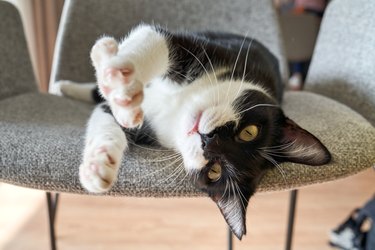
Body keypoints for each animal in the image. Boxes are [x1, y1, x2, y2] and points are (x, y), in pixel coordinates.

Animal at [61, 24, 332, 239]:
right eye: (249, 132)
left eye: (214, 171)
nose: (208, 139)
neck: (180, 106)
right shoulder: (213, 51)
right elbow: (160, 41)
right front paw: (120, 78)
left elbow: (109, 121)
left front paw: (99, 167)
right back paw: (72, 80)